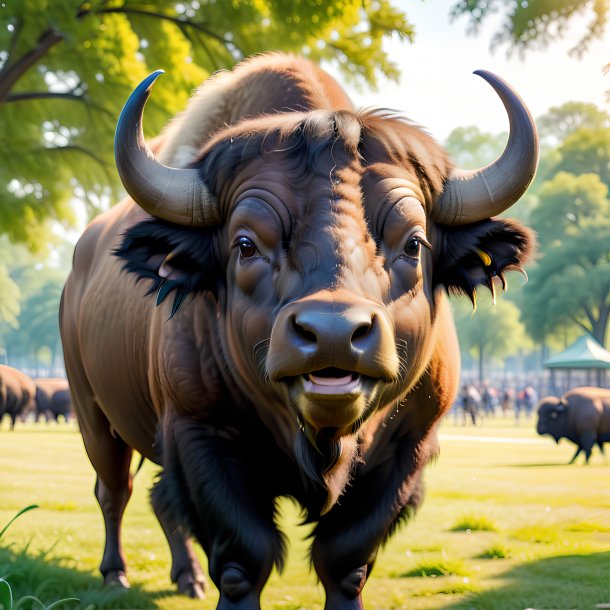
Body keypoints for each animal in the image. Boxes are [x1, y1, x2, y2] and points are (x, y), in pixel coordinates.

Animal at [60, 54, 536, 604]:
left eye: (414, 243)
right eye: (245, 244)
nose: (333, 333)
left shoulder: (409, 446)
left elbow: (344, 562)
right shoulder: (199, 432)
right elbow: (244, 561)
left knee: (158, 498)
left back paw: (187, 577)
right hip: (92, 413)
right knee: (114, 490)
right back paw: (115, 571)